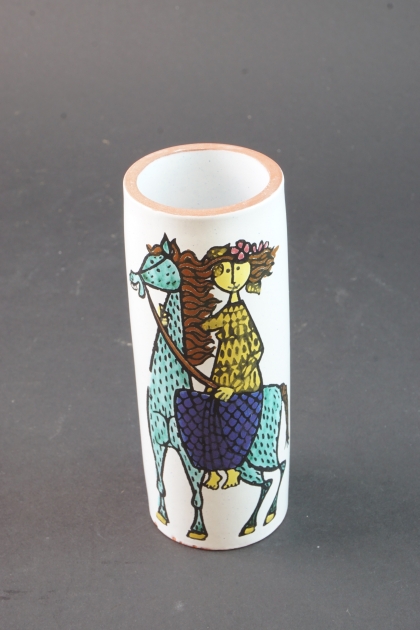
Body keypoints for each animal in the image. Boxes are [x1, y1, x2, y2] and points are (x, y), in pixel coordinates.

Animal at [129, 235, 287, 540]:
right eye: (145, 259)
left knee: (280, 469)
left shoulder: (190, 453)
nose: (133, 277)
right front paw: (163, 516)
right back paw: (250, 523)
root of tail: (277, 389)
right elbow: (160, 481)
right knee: (264, 482)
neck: (169, 395)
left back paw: (265, 518)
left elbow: (196, 495)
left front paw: (198, 530)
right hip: (248, 464)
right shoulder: (155, 442)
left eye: (158, 262)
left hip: (260, 453)